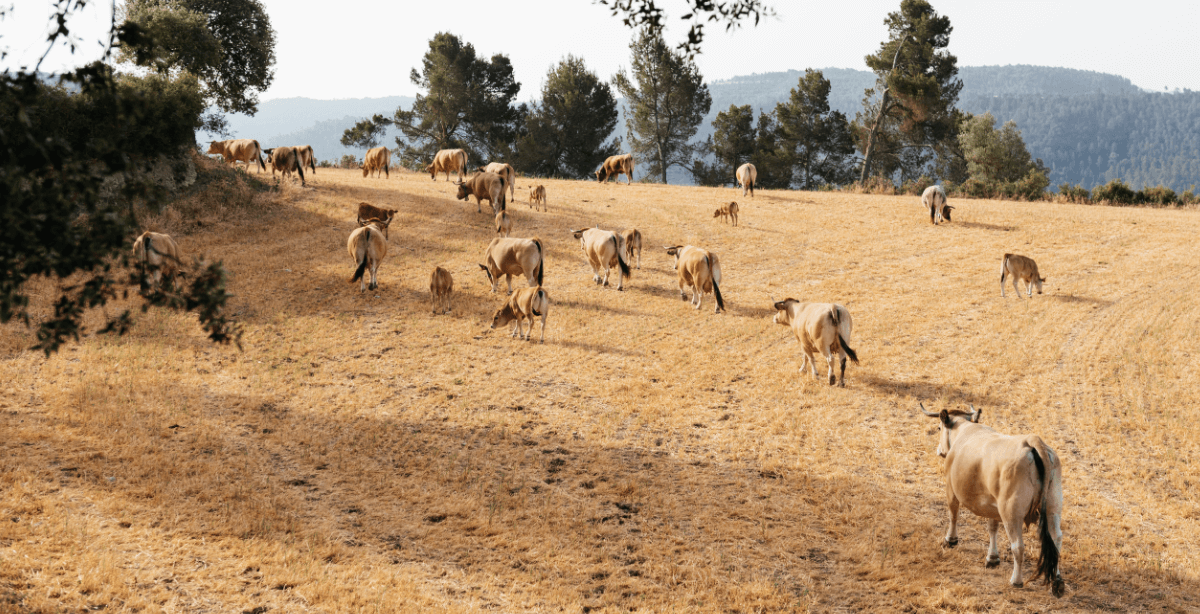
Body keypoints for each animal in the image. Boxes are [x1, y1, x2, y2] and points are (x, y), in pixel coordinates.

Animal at [918, 403, 1065, 597]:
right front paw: (992, 558)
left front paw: (950, 540)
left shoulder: (951, 487)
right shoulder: (993, 504)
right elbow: (992, 527)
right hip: (1053, 507)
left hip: (1011, 512)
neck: (964, 430)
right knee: (1056, 538)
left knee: (1018, 545)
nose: (939, 450)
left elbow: (953, 514)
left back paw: (1016, 580)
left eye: (938, 428)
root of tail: (1033, 441)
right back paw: (1057, 582)